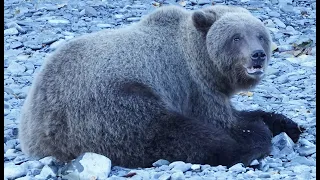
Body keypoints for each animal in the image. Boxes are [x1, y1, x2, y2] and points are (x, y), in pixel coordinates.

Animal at [18, 4, 302, 167]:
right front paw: (256, 132)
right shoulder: (194, 87)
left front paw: (289, 124)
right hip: (108, 105)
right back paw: (239, 150)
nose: (257, 55)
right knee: (168, 133)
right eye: (236, 37)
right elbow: (225, 122)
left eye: (260, 35)